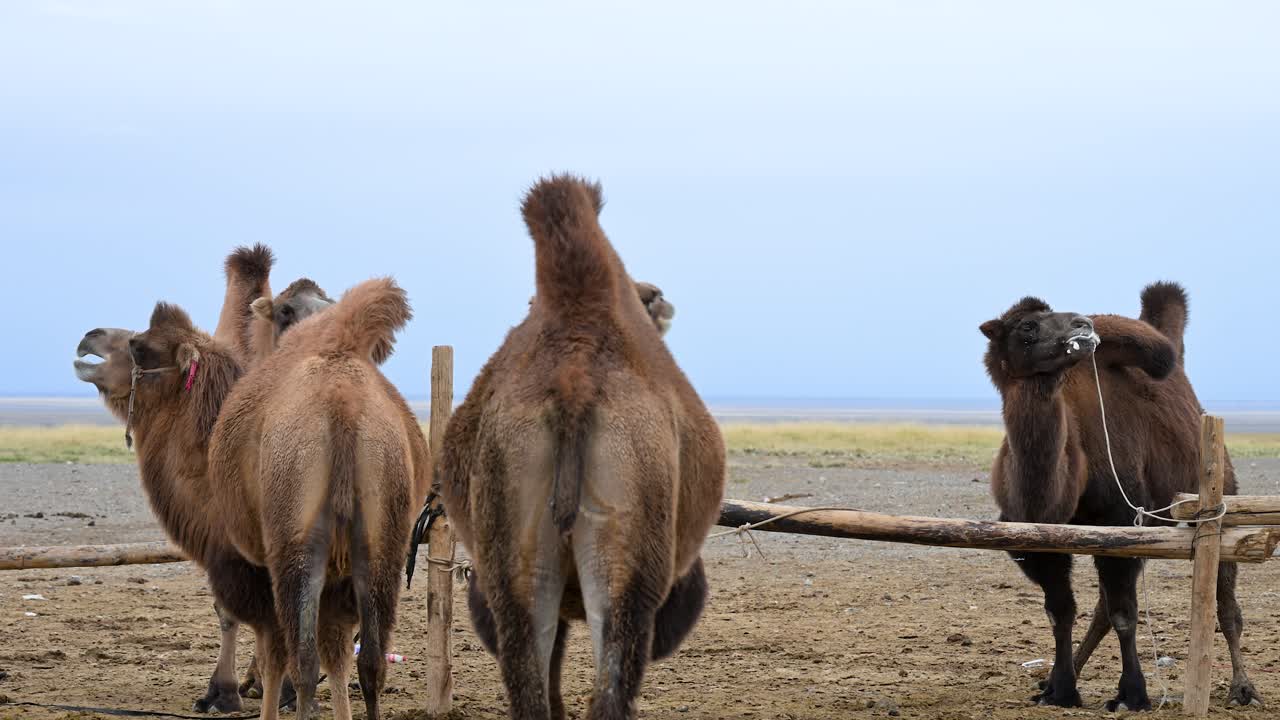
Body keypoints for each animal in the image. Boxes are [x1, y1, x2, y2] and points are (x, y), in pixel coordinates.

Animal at [75, 278, 426, 720]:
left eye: (138, 346)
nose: (89, 337)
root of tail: (343, 407)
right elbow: (337, 653)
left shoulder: (239, 557)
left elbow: (246, 627)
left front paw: (225, 693)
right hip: (382, 541)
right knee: (371, 660)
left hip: (297, 540)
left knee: (303, 655)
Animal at [439, 175, 725, 720]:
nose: (661, 298)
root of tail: (575, 378)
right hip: (634, 546)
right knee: (613, 675)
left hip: (512, 542)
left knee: (528, 665)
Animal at [981, 282, 1260, 711]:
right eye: (1027, 326)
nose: (1082, 324)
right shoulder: (1035, 542)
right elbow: (1060, 611)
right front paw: (1060, 690)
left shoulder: (1119, 520)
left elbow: (1125, 613)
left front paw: (1132, 695)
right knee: (1100, 608)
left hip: (1219, 496)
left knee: (1225, 600)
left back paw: (1242, 688)